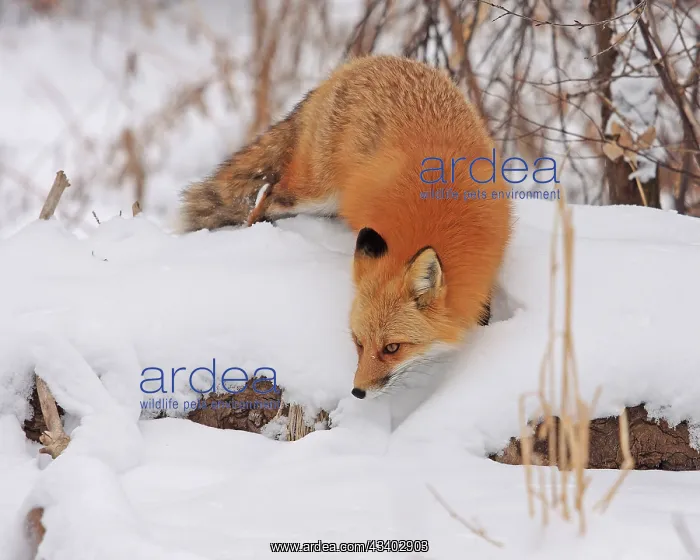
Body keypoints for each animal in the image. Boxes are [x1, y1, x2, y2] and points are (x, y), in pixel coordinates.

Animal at [180, 55, 513, 399]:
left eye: (392, 348)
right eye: (359, 343)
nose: (357, 392)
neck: (438, 218)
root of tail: (354, 65)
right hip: (313, 194)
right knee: (266, 195)